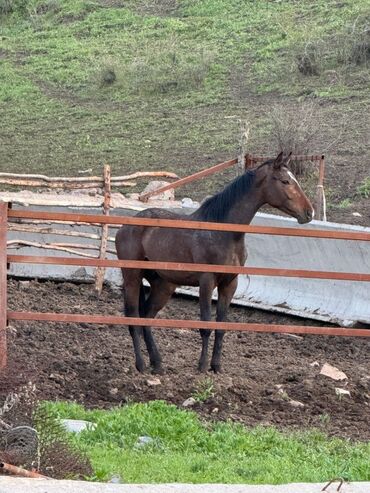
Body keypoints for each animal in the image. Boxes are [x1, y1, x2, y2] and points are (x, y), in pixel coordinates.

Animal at [115, 153, 312, 372]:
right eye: (285, 181)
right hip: (132, 278)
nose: (309, 212)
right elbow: (206, 325)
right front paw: (202, 366)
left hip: (163, 284)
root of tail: (125, 227)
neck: (224, 233)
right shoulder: (207, 282)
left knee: (146, 317)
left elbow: (220, 327)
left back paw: (157, 363)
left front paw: (216, 366)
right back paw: (141, 365)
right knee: (133, 317)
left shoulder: (229, 284)